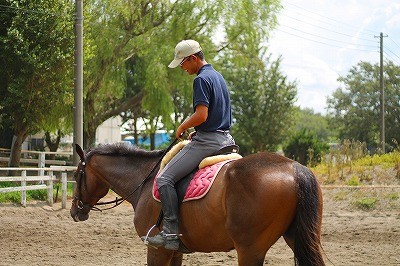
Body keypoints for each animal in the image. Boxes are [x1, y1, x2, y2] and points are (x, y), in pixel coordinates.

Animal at [69, 143, 324, 266]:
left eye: (76, 174)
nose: (74, 211)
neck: (144, 179)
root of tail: (293, 167)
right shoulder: (174, 252)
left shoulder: (157, 250)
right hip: (296, 238)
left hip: (250, 250)